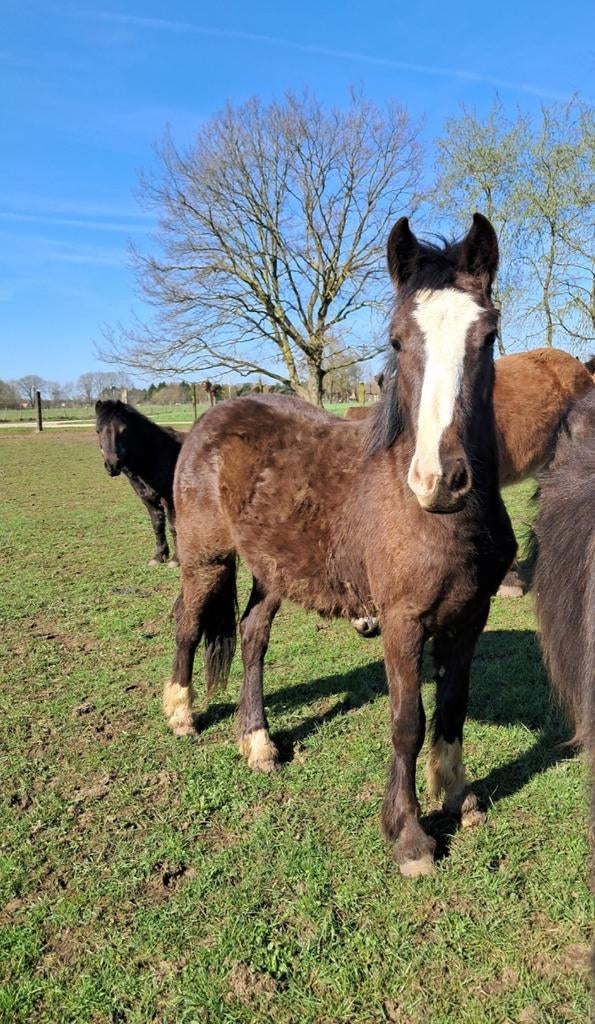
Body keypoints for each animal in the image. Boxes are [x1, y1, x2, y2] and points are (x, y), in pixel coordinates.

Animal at [95, 400, 186, 567]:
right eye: (98, 431)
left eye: (124, 430)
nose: (112, 465)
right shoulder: (148, 499)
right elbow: (157, 525)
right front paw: (158, 556)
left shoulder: (170, 499)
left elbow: (173, 526)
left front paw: (176, 560)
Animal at [164, 212, 517, 877]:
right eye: (398, 341)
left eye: (488, 337)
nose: (440, 480)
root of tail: (209, 420)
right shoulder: (403, 620)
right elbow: (409, 721)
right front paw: (409, 836)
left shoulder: (470, 615)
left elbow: (453, 707)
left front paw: (457, 797)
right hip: (206, 559)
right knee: (188, 624)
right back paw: (180, 712)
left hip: (274, 571)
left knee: (252, 636)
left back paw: (258, 742)